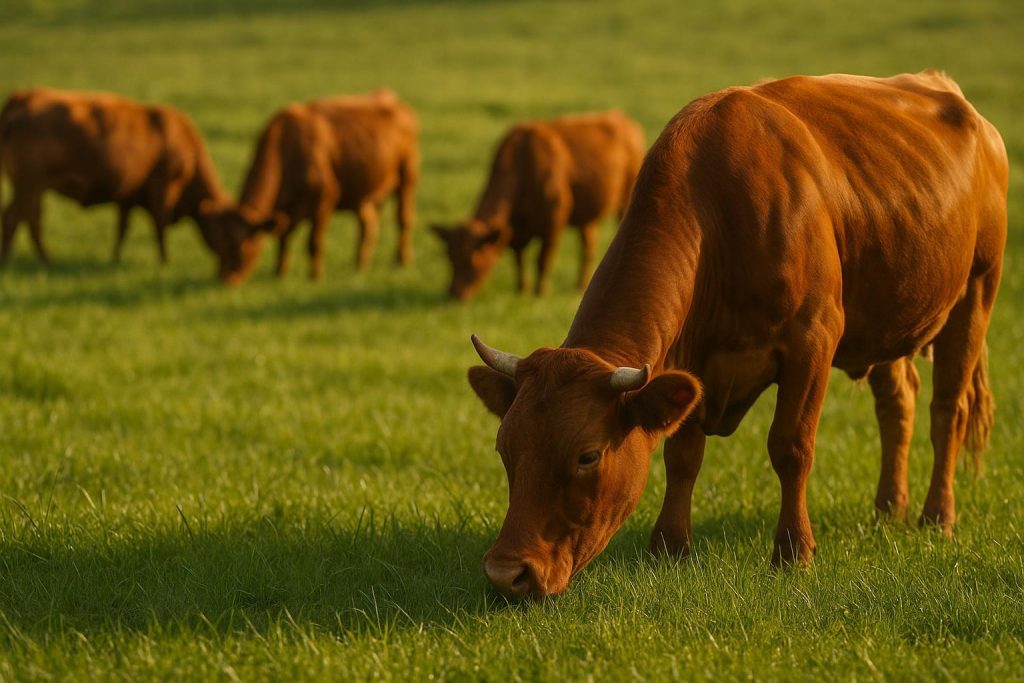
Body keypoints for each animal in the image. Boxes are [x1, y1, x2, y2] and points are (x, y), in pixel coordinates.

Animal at [0, 87, 243, 268]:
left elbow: (122, 228)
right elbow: (159, 225)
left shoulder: (128, 192)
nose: (238, 265)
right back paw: (24, 261)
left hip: (30, 187)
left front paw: (115, 259)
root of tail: (19, 102)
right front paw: (164, 262)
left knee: (26, 218)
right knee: (19, 218)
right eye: (229, 235)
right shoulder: (163, 187)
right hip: (29, 185)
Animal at [206, 90, 419, 285]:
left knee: (403, 219)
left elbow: (313, 243)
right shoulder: (286, 211)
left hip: (407, 175)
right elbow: (283, 239)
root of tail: (390, 96)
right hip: (364, 191)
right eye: (218, 246)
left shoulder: (324, 200)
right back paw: (360, 265)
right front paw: (279, 273)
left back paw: (401, 260)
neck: (286, 150)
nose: (225, 280)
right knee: (368, 225)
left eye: (240, 246)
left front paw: (315, 277)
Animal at [432, 111, 645, 300]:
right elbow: (519, 259)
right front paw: (522, 290)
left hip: (623, 202)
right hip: (586, 215)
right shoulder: (516, 233)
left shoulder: (554, 220)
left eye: (473, 259)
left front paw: (540, 292)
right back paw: (580, 285)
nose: (454, 294)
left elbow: (542, 260)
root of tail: (623, 119)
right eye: (449, 257)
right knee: (588, 247)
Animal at [466, 71, 1007, 599]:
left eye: (588, 456)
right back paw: (888, 508)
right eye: (505, 448)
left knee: (947, 409)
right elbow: (682, 455)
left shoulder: (813, 340)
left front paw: (793, 553)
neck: (718, 216)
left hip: (976, 292)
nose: (506, 573)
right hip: (887, 318)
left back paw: (937, 516)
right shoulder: (689, 364)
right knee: (899, 404)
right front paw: (669, 547)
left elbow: (790, 446)